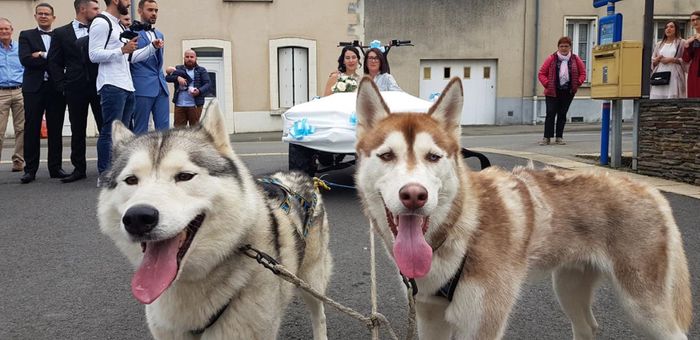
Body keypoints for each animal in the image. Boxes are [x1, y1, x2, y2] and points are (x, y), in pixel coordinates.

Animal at [96, 102, 334, 338]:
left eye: (184, 176)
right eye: (131, 180)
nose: (138, 217)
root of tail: (301, 176)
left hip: (310, 280)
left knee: (320, 315)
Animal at [352, 77, 692, 340]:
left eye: (433, 157)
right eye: (387, 155)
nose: (414, 195)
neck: (462, 231)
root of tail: (650, 188)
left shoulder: (482, 324)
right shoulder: (429, 317)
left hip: (645, 308)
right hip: (569, 286)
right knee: (588, 327)